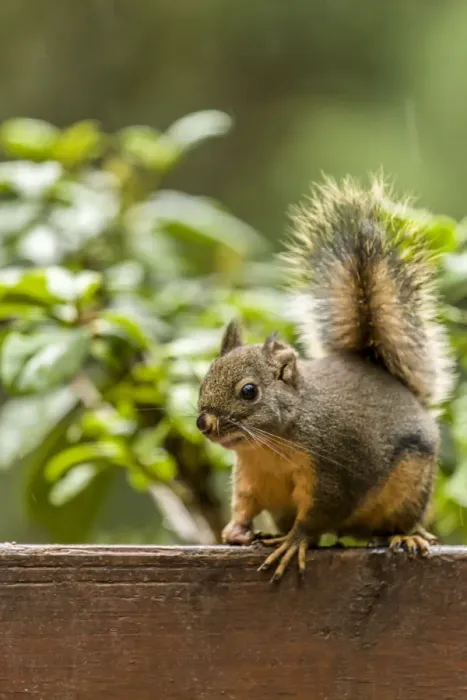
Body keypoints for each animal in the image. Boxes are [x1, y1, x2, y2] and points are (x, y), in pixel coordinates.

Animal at [196, 175, 455, 581]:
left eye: (249, 391)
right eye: (204, 381)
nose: (203, 423)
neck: (270, 445)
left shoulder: (333, 470)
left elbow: (318, 516)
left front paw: (294, 542)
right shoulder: (250, 477)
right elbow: (244, 504)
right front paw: (235, 531)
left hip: (411, 485)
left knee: (395, 523)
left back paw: (405, 536)